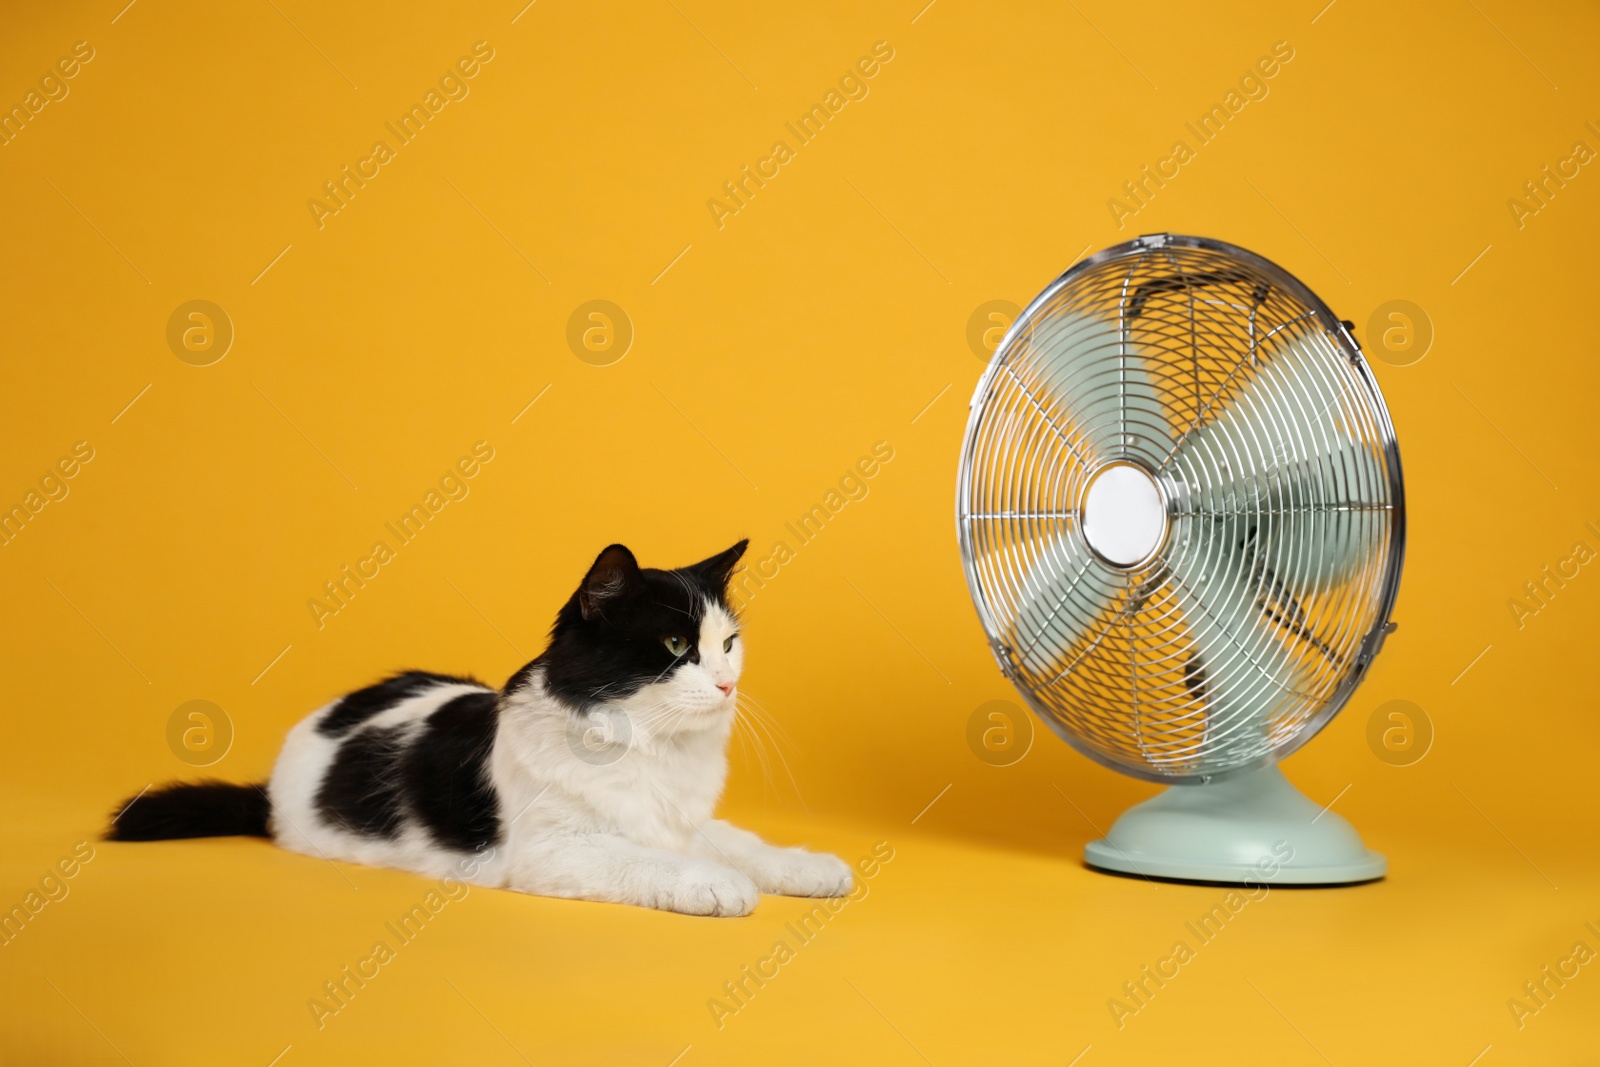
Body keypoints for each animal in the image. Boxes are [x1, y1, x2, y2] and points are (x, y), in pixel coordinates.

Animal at [109, 543, 851, 921]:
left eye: (728, 644)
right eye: (675, 645)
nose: (727, 685)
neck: (651, 746)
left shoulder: (683, 821)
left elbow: (745, 843)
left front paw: (809, 868)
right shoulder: (555, 847)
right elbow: (654, 861)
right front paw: (716, 885)